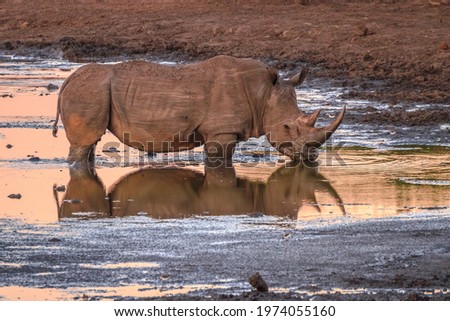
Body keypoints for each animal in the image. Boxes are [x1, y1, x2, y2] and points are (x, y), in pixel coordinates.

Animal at [52, 55, 342, 165]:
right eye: (286, 127)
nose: (311, 157)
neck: (261, 94)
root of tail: (67, 81)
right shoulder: (221, 132)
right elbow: (219, 162)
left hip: (92, 91)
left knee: (89, 143)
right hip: (90, 91)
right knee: (84, 142)